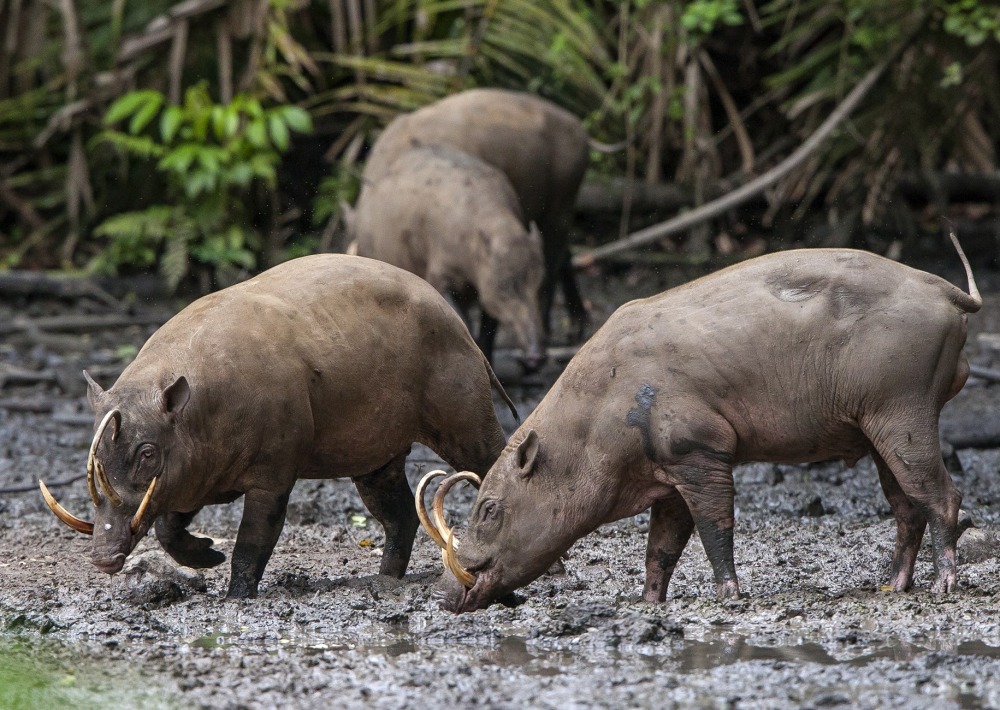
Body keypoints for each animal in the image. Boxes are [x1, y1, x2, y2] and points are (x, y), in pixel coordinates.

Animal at [41, 253, 516, 596]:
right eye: (96, 457)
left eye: (147, 453)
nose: (102, 557)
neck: (198, 412)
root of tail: (462, 329)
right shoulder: (195, 475)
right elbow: (166, 526)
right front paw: (208, 556)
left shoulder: (274, 472)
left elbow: (253, 542)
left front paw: (236, 595)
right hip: (375, 457)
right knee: (400, 515)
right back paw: (384, 581)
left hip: (463, 414)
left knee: (492, 459)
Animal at [350, 147, 548, 372]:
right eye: (506, 286)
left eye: (541, 284)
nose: (536, 356)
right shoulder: (443, 276)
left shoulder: (487, 285)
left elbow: (488, 325)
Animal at [424, 235, 984, 612]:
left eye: (489, 509)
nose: (445, 596)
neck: (600, 413)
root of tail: (950, 294)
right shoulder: (666, 475)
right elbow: (660, 548)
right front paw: (648, 603)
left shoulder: (700, 450)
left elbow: (715, 528)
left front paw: (728, 595)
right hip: (877, 428)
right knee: (907, 508)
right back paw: (894, 586)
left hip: (904, 408)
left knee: (943, 497)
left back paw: (943, 586)